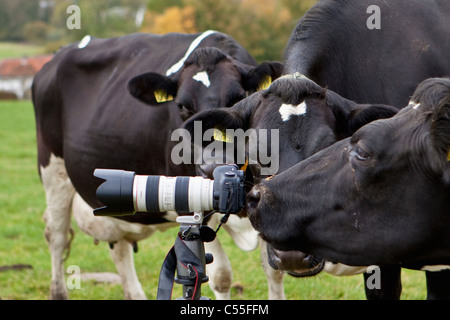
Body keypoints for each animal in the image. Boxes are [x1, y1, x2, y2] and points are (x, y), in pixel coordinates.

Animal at [33, 31, 284, 298]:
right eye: (182, 106)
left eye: (238, 98)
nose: (213, 166)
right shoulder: (192, 200)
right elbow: (221, 276)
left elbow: (275, 270)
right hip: (53, 170)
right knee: (56, 234)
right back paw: (58, 291)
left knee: (118, 247)